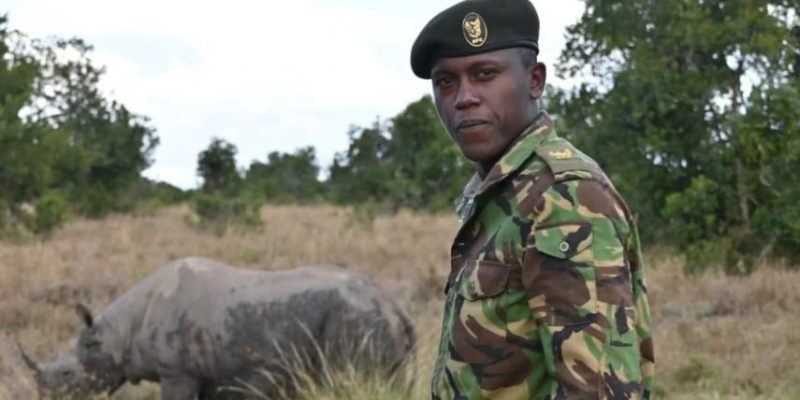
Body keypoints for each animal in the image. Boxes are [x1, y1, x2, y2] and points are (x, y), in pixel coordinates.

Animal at [20, 257, 416, 399]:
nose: (43, 395)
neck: (119, 332)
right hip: (373, 320)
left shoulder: (176, 372)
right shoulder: (214, 373)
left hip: (358, 319)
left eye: (68, 375)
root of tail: (396, 307)